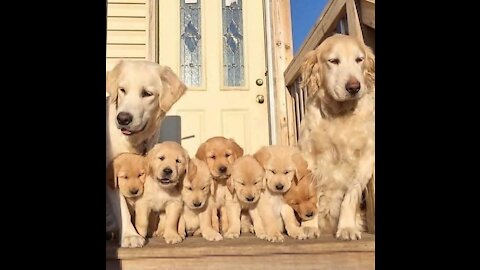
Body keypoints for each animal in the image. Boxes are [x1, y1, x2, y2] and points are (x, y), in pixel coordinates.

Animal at [106, 60, 187, 248]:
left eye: (147, 94)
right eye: (122, 90)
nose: (123, 118)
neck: (134, 141)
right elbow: (122, 209)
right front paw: (130, 235)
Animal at [300, 34, 376, 240]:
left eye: (359, 59)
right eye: (333, 61)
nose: (354, 87)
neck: (339, 114)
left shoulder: (365, 160)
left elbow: (350, 196)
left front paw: (347, 228)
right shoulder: (309, 156)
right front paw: (308, 226)